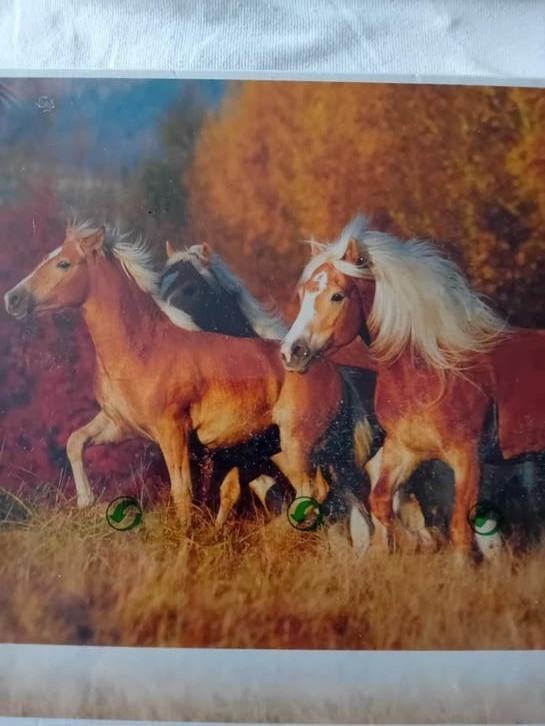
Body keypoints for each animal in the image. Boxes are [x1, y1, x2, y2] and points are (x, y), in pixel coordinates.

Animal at [4, 221, 373, 532]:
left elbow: (182, 492)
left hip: (298, 443)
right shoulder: (119, 424)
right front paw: (85, 500)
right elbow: (75, 442)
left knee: (314, 491)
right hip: (282, 449)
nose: (13, 298)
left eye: (63, 264)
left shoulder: (173, 433)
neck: (143, 348)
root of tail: (336, 372)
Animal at [281, 214, 545, 554]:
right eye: (304, 295)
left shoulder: (467, 457)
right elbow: (380, 503)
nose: (292, 352)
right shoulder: (402, 450)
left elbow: (460, 529)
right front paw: (419, 541)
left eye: (337, 296)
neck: (430, 373)